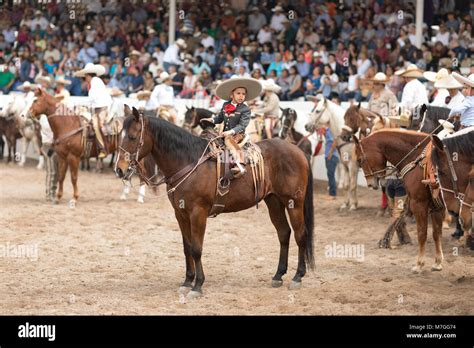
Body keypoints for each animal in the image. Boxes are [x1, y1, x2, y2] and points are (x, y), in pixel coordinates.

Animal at [115, 106, 314, 300]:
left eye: (132, 136)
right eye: (120, 136)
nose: (119, 169)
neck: (188, 161)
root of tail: (298, 151)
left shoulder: (198, 213)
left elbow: (196, 248)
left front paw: (197, 285)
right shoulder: (180, 214)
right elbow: (187, 247)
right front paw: (187, 281)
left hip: (294, 203)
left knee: (300, 235)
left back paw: (297, 276)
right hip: (273, 201)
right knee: (284, 233)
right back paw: (278, 275)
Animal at [354, 129, 446, 274]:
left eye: (360, 159)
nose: (369, 184)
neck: (417, 159)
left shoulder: (418, 203)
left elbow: (422, 233)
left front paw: (419, 264)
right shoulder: (437, 206)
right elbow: (436, 233)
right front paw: (437, 263)